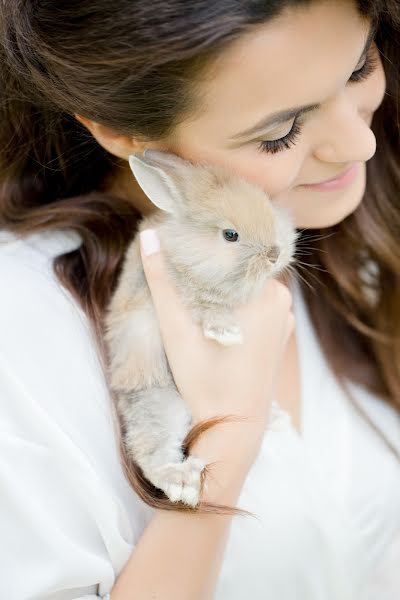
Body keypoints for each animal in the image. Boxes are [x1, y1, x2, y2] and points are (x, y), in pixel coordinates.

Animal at [103, 149, 296, 506]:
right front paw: (227, 334)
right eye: (230, 235)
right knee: (151, 453)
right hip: (159, 404)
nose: (274, 254)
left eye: (268, 208)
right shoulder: (186, 290)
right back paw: (182, 482)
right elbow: (208, 306)